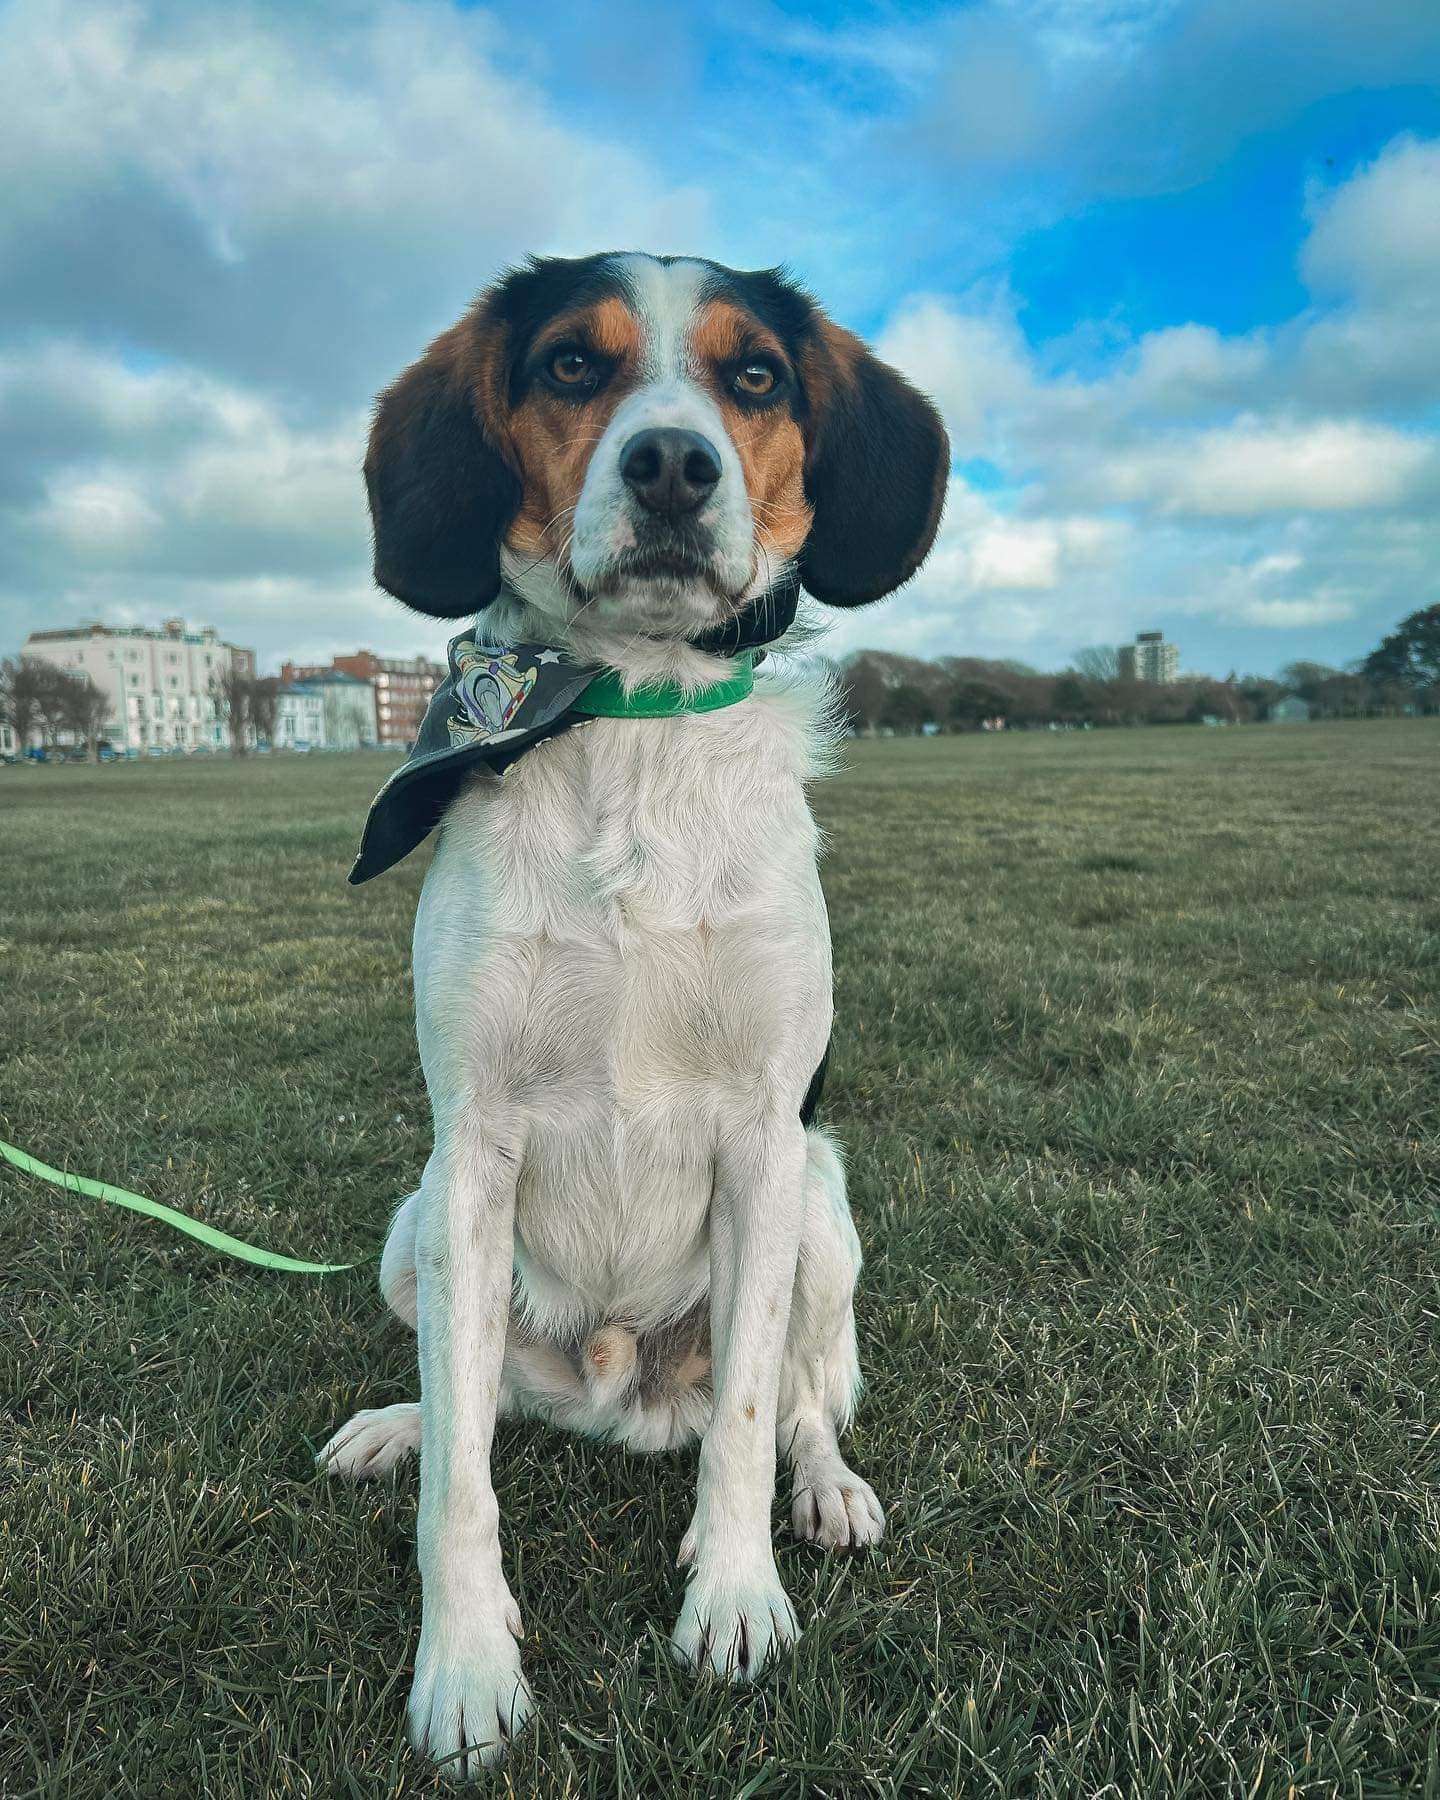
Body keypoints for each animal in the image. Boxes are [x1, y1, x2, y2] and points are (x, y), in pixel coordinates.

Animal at [318, 250, 943, 1771]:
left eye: (756, 375)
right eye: (569, 366)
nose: (671, 464)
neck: (636, 723)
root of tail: (617, 1389)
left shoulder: (766, 1139)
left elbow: (749, 1418)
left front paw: (735, 1601)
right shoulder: (471, 1146)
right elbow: (463, 1485)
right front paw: (466, 1669)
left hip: (825, 1214)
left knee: (800, 1399)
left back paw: (825, 1493)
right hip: (415, 1228)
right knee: (477, 1396)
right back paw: (398, 1424)